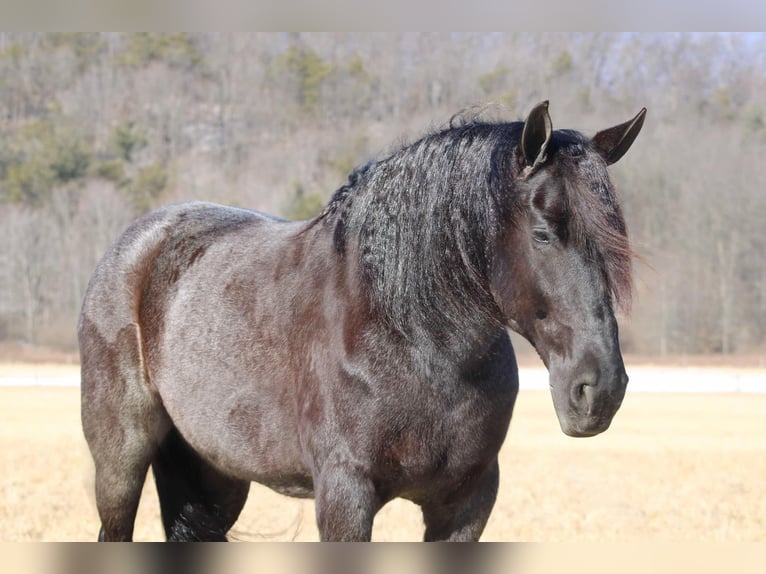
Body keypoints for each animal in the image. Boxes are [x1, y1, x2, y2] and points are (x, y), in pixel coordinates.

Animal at [81, 101, 648, 544]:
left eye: (615, 236)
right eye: (543, 232)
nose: (600, 390)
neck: (415, 340)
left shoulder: (467, 503)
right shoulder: (345, 496)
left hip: (214, 472)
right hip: (120, 461)